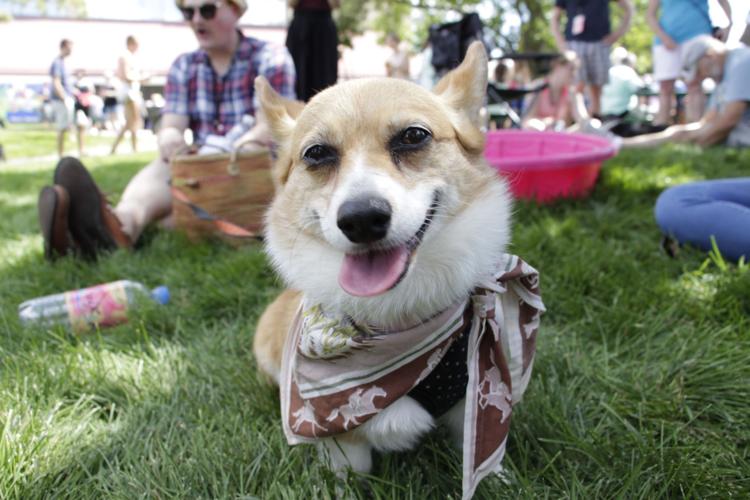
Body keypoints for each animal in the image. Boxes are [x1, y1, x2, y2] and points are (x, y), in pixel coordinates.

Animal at [256, 42, 544, 496]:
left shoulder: (477, 393)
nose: (361, 219)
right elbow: (346, 472)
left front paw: (500, 481)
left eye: (413, 136)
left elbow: (485, 449)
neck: (401, 314)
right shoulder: (335, 430)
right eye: (317, 154)